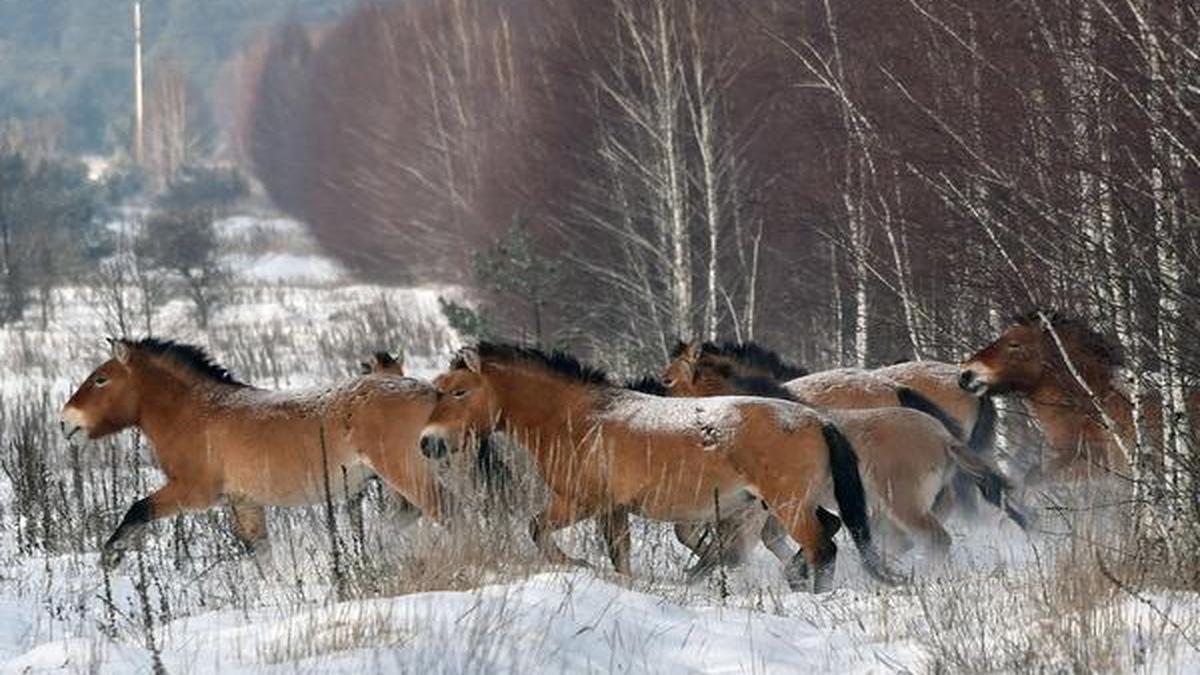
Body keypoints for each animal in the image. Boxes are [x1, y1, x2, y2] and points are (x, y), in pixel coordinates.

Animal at [62, 338, 452, 570]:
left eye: (100, 379)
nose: (65, 421)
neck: (195, 413)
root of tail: (433, 394)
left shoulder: (193, 492)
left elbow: (138, 510)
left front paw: (111, 558)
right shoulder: (245, 503)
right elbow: (261, 554)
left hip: (406, 474)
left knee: (447, 513)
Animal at [418, 342, 899, 592]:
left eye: (459, 391)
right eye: (439, 389)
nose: (428, 442)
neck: (576, 418)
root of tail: (818, 420)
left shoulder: (581, 502)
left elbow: (538, 529)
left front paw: (577, 564)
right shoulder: (613, 509)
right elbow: (620, 553)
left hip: (788, 506)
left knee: (823, 548)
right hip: (785, 504)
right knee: (829, 531)